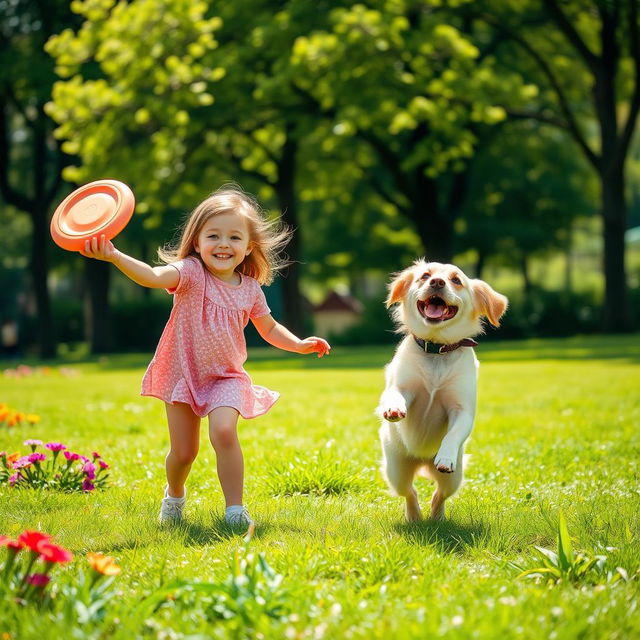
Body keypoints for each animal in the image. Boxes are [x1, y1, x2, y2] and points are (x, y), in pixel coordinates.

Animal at [378, 258, 508, 520]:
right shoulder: (402, 386)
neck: (436, 349)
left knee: (439, 495)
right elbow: (394, 394)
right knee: (410, 493)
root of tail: (422, 460)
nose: (437, 282)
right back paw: (415, 517)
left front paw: (445, 456)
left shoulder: (462, 411)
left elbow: (453, 434)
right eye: (424, 276)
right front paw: (394, 408)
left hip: (454, 479)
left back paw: (436, 517)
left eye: (456, 280)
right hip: (396, 470)